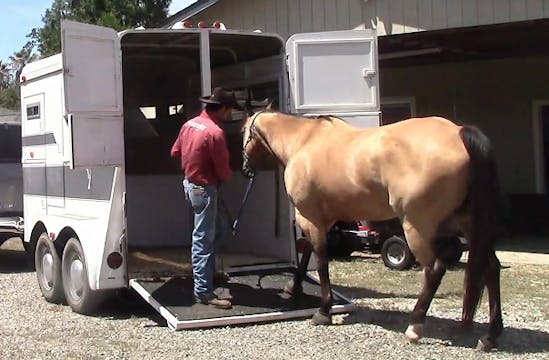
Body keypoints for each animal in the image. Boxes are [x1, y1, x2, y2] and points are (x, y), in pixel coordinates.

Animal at [240, 110, 500, 352]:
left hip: (417, 228)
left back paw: (414, 327)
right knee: (490, 267)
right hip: (468, 223)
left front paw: (323, 312)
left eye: (243, 131)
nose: (245, 168)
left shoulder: (310, 217)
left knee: (434, 269)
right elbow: (307, 251)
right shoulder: (321, 220)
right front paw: (293, 288)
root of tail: (458, 133)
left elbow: (321, 261)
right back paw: (489, 337)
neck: (303, 141)